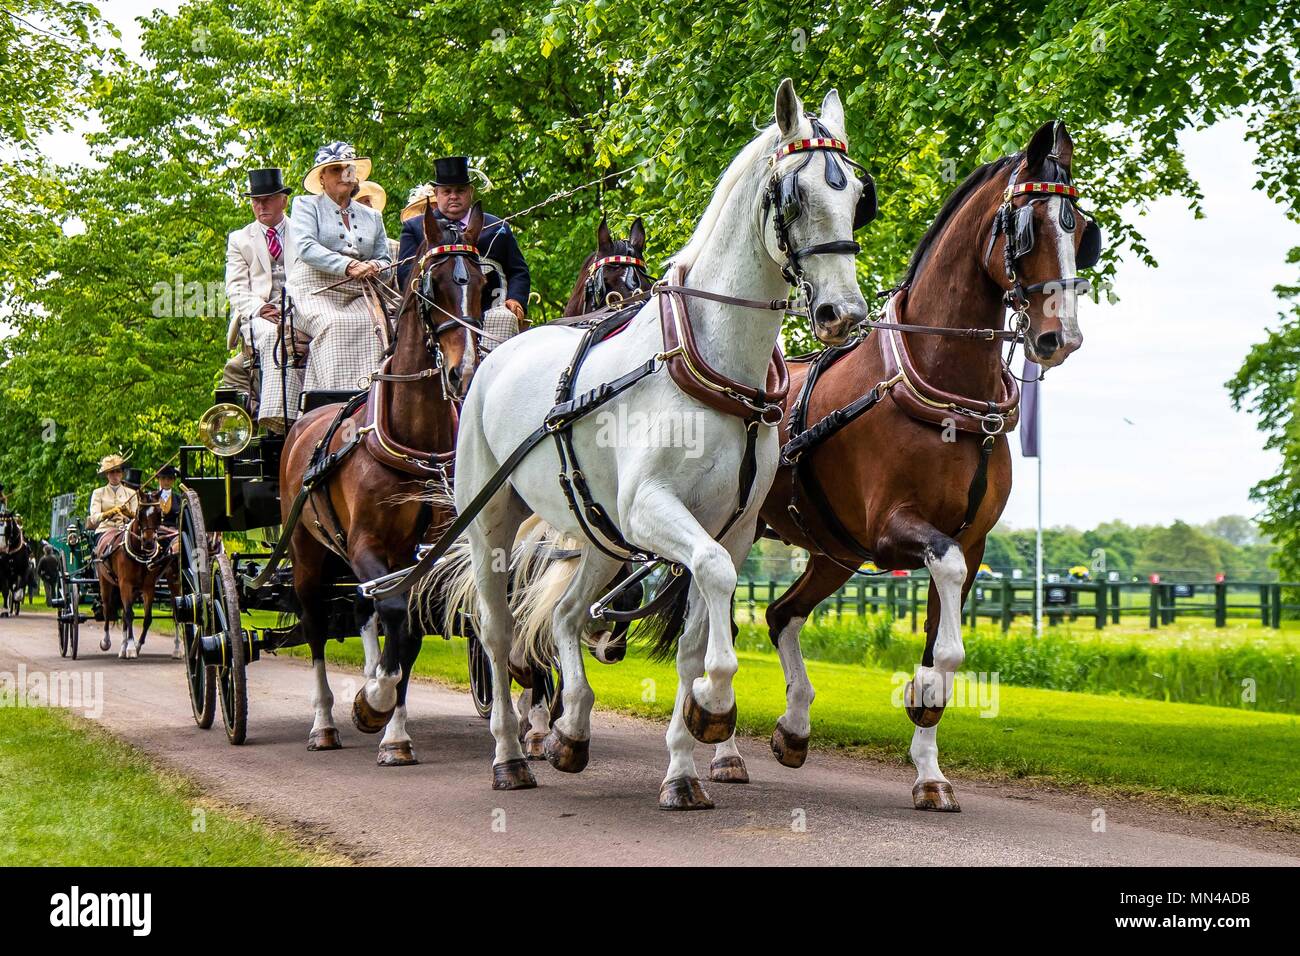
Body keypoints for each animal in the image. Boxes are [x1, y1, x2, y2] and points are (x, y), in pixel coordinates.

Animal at [94, 494, 178, 658]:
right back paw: (107, 642)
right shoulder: (124, 584)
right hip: (105, 583)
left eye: (159, 514)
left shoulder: (148, 587)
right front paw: (132, 648)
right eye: (140, 513)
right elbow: (129, 614)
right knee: (107, 608)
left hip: (135, 590)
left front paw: (134, 646)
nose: (149, 542)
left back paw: (122, 647)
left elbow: (147, 618)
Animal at [279, 205, 488, 764]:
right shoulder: (365, 542)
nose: (465, 372)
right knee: (315, 626)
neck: (414, 445)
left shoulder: (425, 553)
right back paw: (324, 723)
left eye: (484, 284)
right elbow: (393, 614)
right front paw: (372, 701)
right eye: (434, 284)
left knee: (363, 608)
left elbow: (406, 630)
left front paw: (393, 730)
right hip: (309, 555)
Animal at [441, 78, 868, 806]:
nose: (844, 314)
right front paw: (715, 706)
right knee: (497, 632)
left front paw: (684, 765)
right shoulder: (653, 510)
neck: (714, 370)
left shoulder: (730, 527)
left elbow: (699, 636)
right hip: (493, 520)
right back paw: (509, 755)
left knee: (566, 616)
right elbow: (714, 593)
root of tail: (496, 352)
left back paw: (572, 730)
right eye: (792, 196)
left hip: (600, 534)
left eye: (857, 197)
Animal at [728, 115, 1102, 811]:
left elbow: (937, 639)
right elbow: (946, 634)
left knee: (781, 614)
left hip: (833, 550)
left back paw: (793, 728)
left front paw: (930, 772)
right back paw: (722, 750)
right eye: (1027, 228)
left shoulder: (970, 541)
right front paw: (925, 693)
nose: (1058, 338)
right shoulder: (896, 533)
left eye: (1081, 231)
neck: (948, 393)